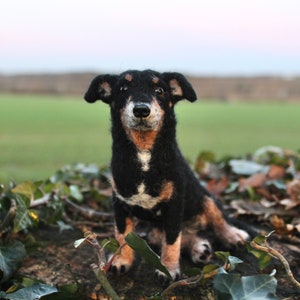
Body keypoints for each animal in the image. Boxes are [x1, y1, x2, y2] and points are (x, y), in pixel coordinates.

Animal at [84, 69, 248, 282]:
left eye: (160, 90)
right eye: (122, 88)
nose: (141, 110)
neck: (144, 152)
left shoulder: (174, 204)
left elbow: (171, 241)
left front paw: (168, 269)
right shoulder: (119, 203)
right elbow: (122, 235)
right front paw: (121, 261)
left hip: (205, 198)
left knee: (218, 219)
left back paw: (232, 236)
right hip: (155, 230)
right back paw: (199, 248)